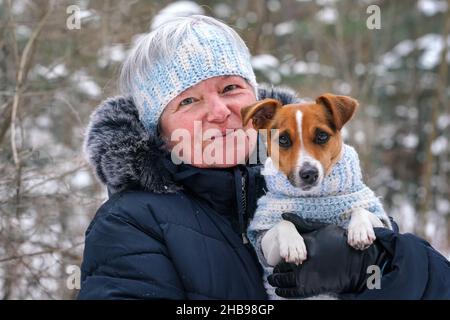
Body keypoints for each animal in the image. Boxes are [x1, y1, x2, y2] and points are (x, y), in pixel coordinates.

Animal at [241, 94, 392, 298]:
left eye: (322, 136)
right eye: (283, 140)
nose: (309, 173)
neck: (315, 197)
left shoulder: (381, 220)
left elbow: (361, 209)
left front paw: (359, 230)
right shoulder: (265, 245)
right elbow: (283, 222)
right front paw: (293, 245)